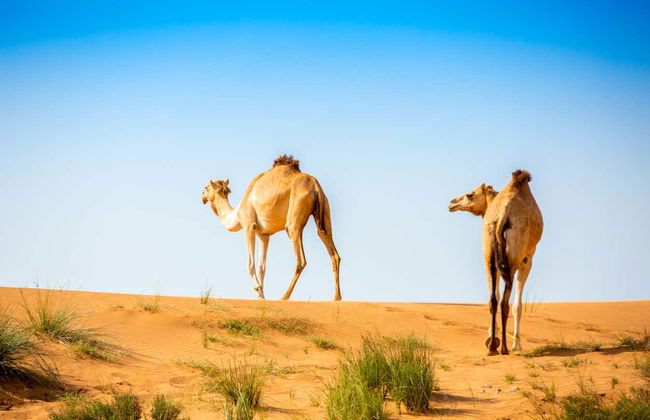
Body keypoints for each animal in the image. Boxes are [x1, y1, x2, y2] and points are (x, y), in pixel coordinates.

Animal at [201, 155, 341, 301]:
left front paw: (258, 290)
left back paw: (284, 296)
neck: (237, 213)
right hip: (324, 210)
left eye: (206, 188)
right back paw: (337, 297)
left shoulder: (249, 226)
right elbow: (262, 267)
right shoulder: (264, 235)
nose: (202, 197)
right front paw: (261, 295)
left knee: (300, 259)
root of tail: (315, 186)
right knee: (331, 249)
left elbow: (250, 265)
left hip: (294, 217)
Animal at [448, 170, 543, 355]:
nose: (452, 203)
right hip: (513, 258)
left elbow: (495, 295)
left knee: (493, 299)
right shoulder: (527, 260)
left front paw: (492, 337)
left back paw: (492, 347)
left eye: (470, 194)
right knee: (505, 303)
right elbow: (517, 306)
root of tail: (502, 215)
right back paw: (505, 348)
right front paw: (517, 345)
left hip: (488, 253)